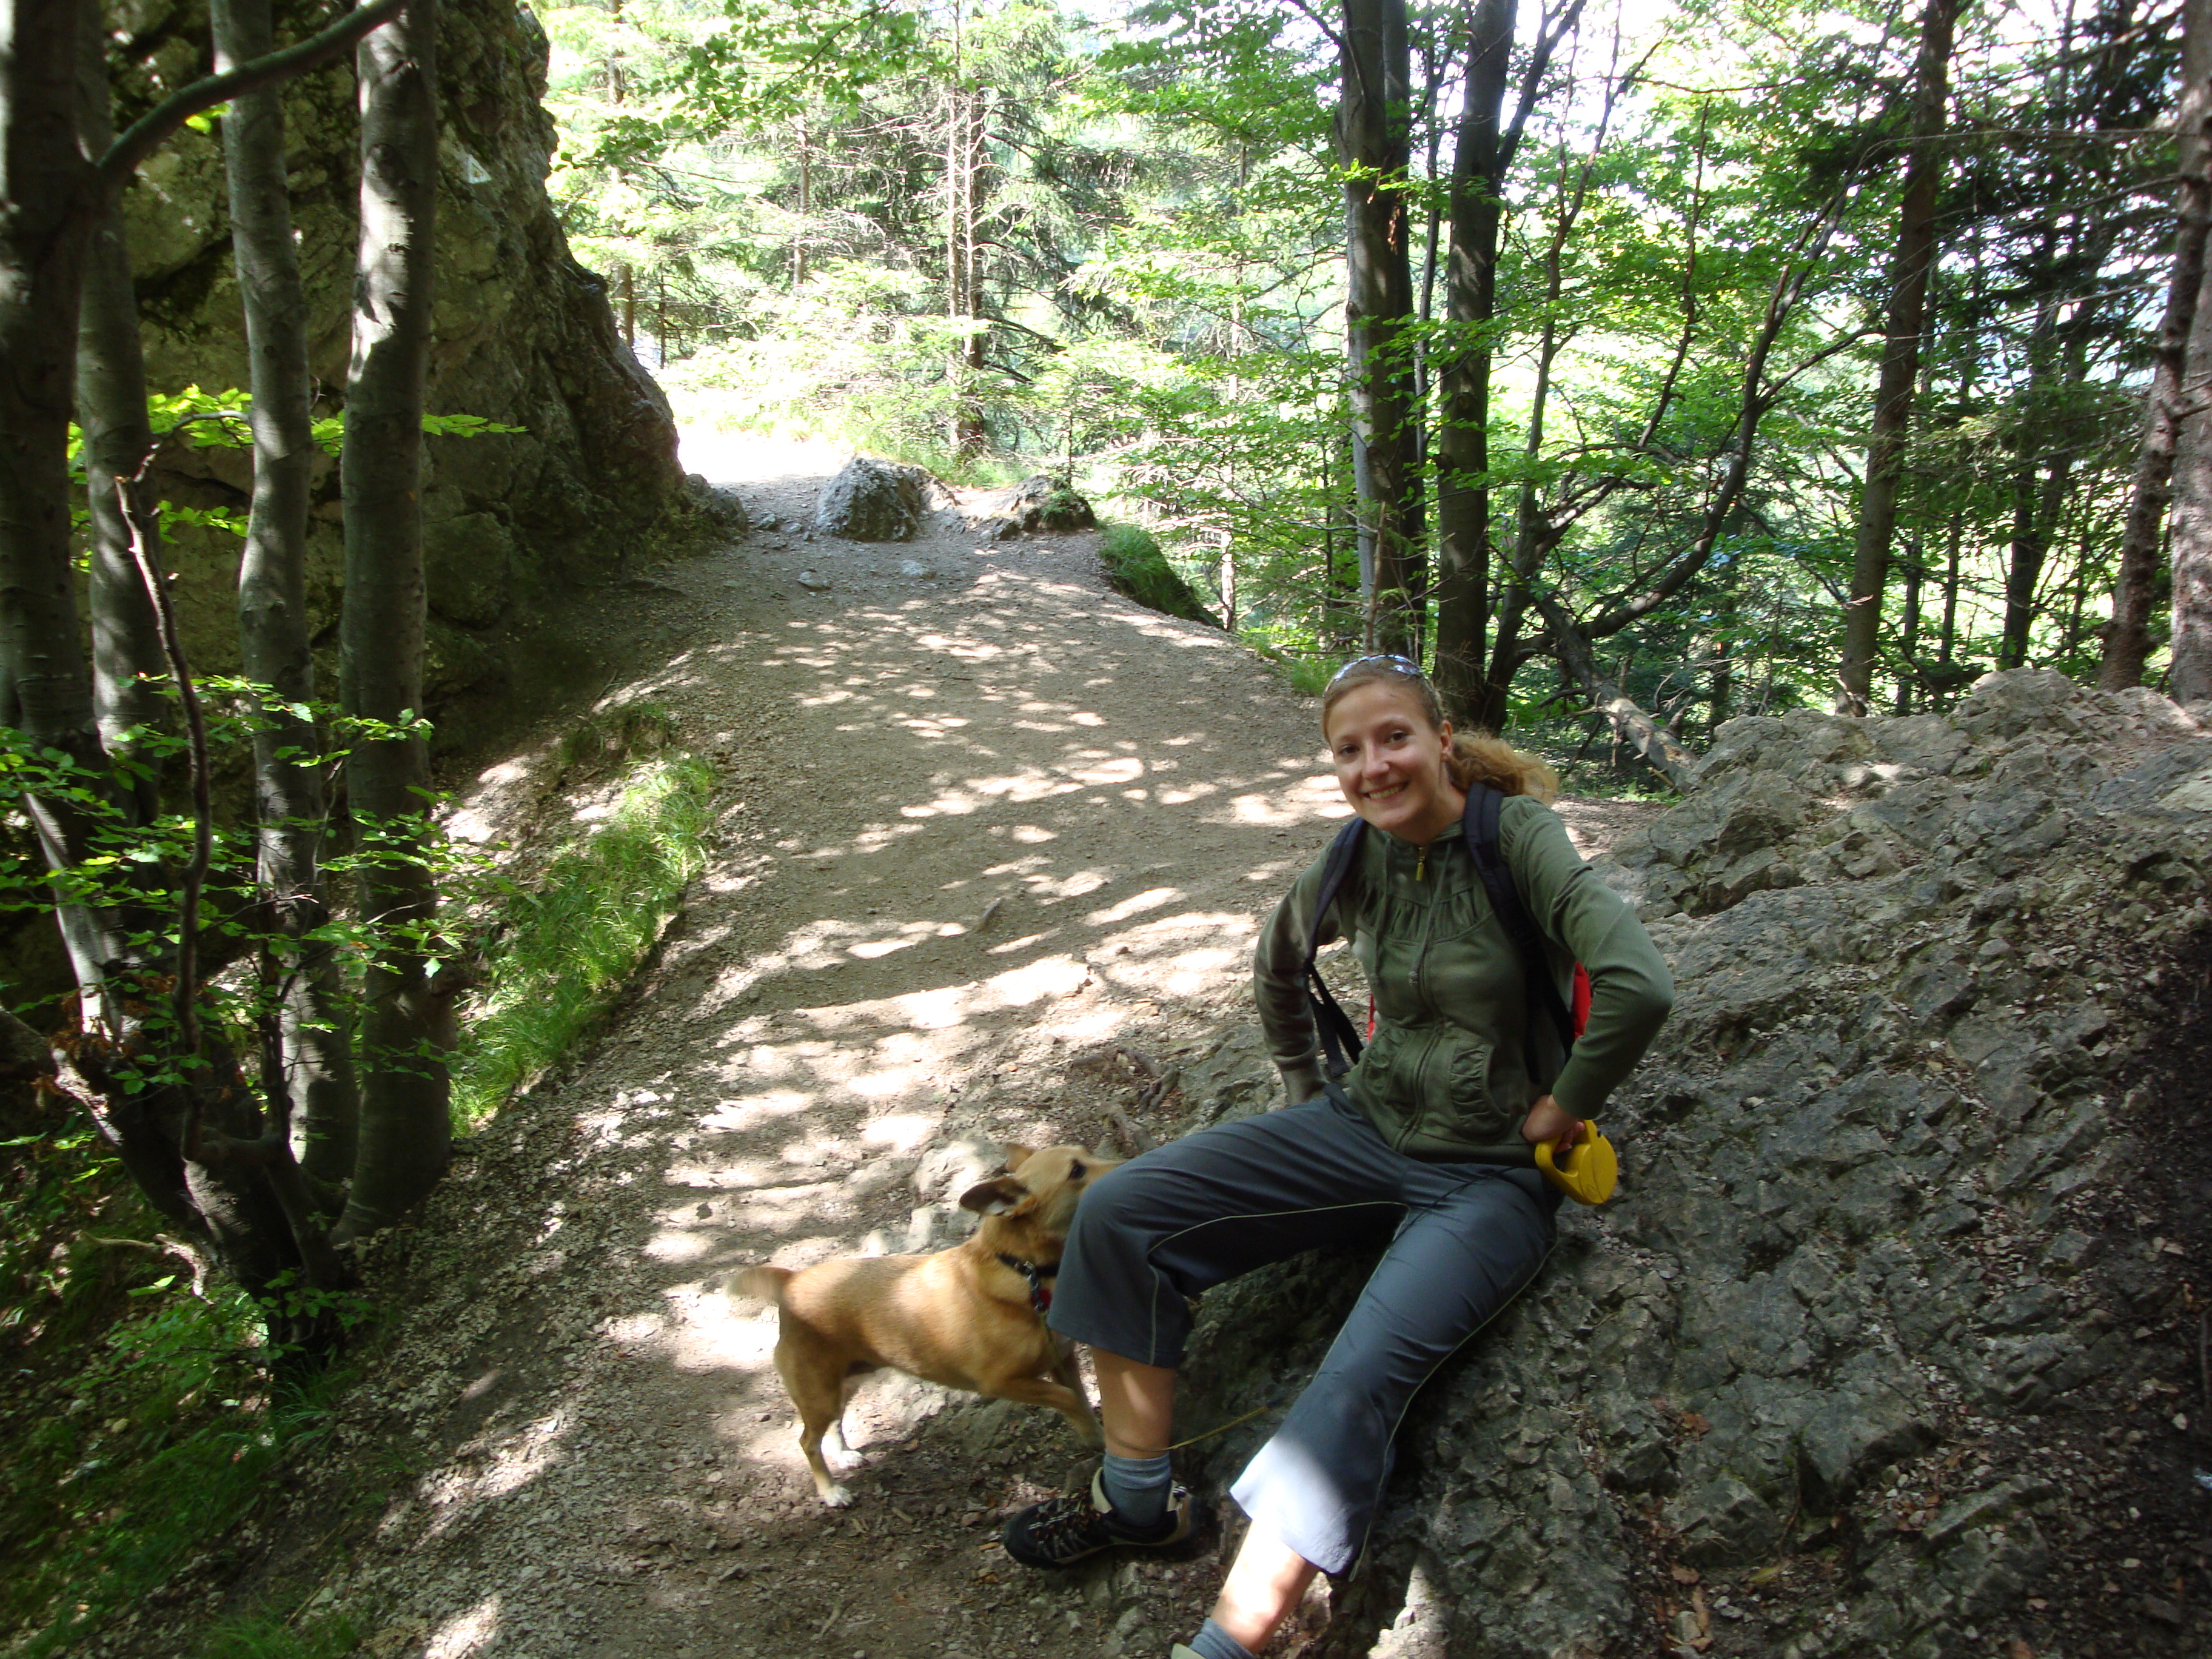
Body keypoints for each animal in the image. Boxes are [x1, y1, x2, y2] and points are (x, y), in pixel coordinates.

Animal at [730, 1142, 1119, 1506]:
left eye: (1086, 1154)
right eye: (1076, 1171)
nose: (1128, 1164)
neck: (1024, 1271)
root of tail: (791, 1281)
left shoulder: (1063, 1360)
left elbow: (1081, 1399)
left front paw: (1098, 1437)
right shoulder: (1001, 1382)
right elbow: (1069, 1398)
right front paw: (1090, 1434)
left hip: (844, 1382)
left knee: (835, 1423)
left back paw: (843, 1455)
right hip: (818, 1393)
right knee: (808, 1440)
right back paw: (830, 1492)